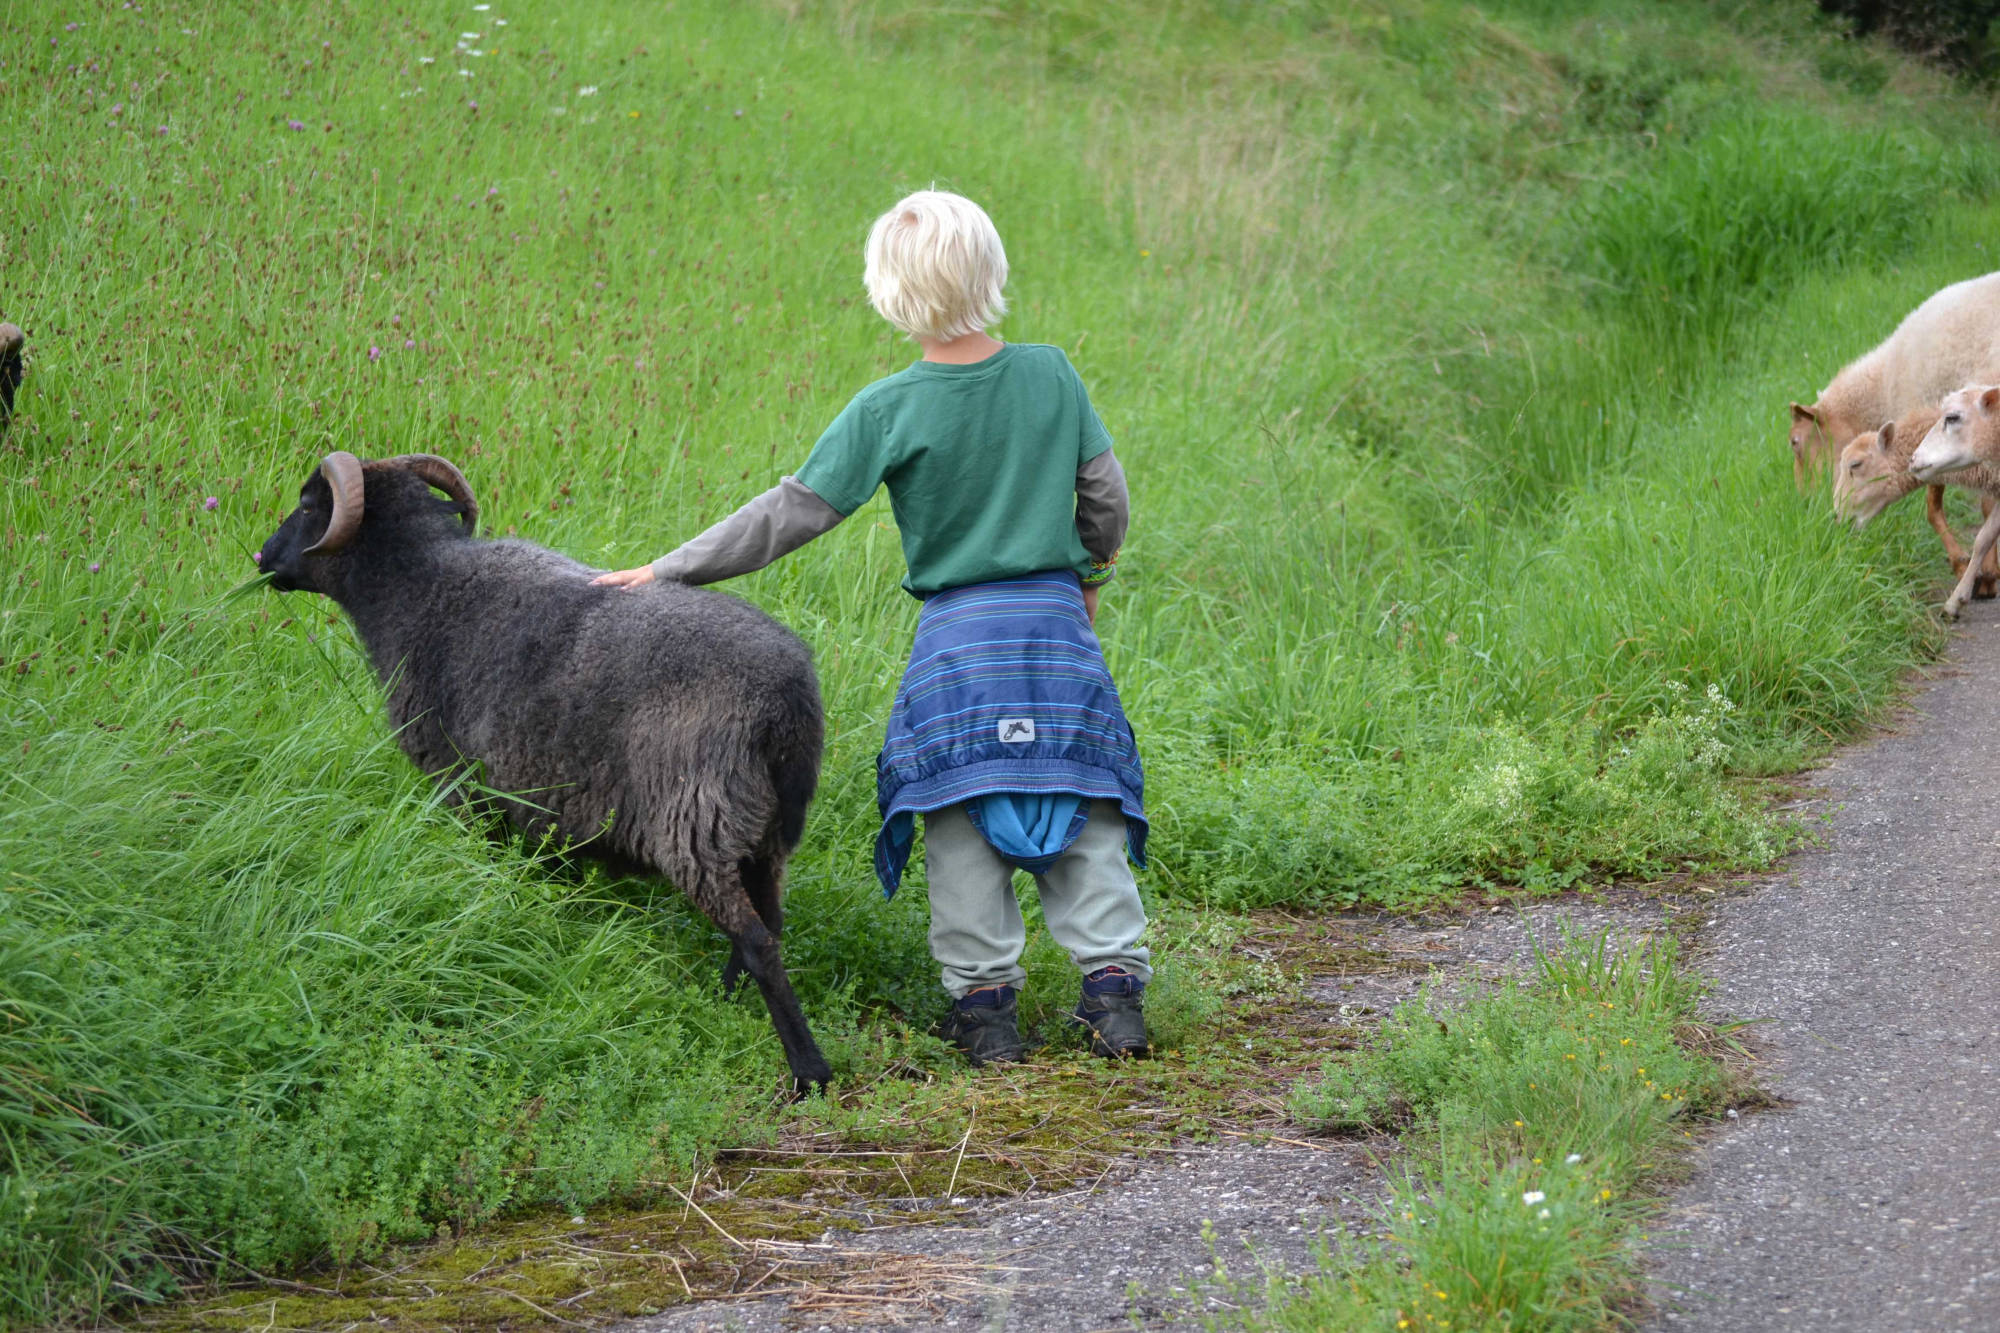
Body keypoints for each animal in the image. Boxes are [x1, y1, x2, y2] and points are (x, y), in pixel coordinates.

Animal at [255, 452, 832, 1093]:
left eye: (310, 505)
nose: (262, 558)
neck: (421, 587)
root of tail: (786, 700)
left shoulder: (466, 784)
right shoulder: (544, 804)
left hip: (694, 822)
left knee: (757, 941)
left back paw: (808, 1070)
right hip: (765, 831)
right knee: (768, 923)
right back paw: (723, 999)